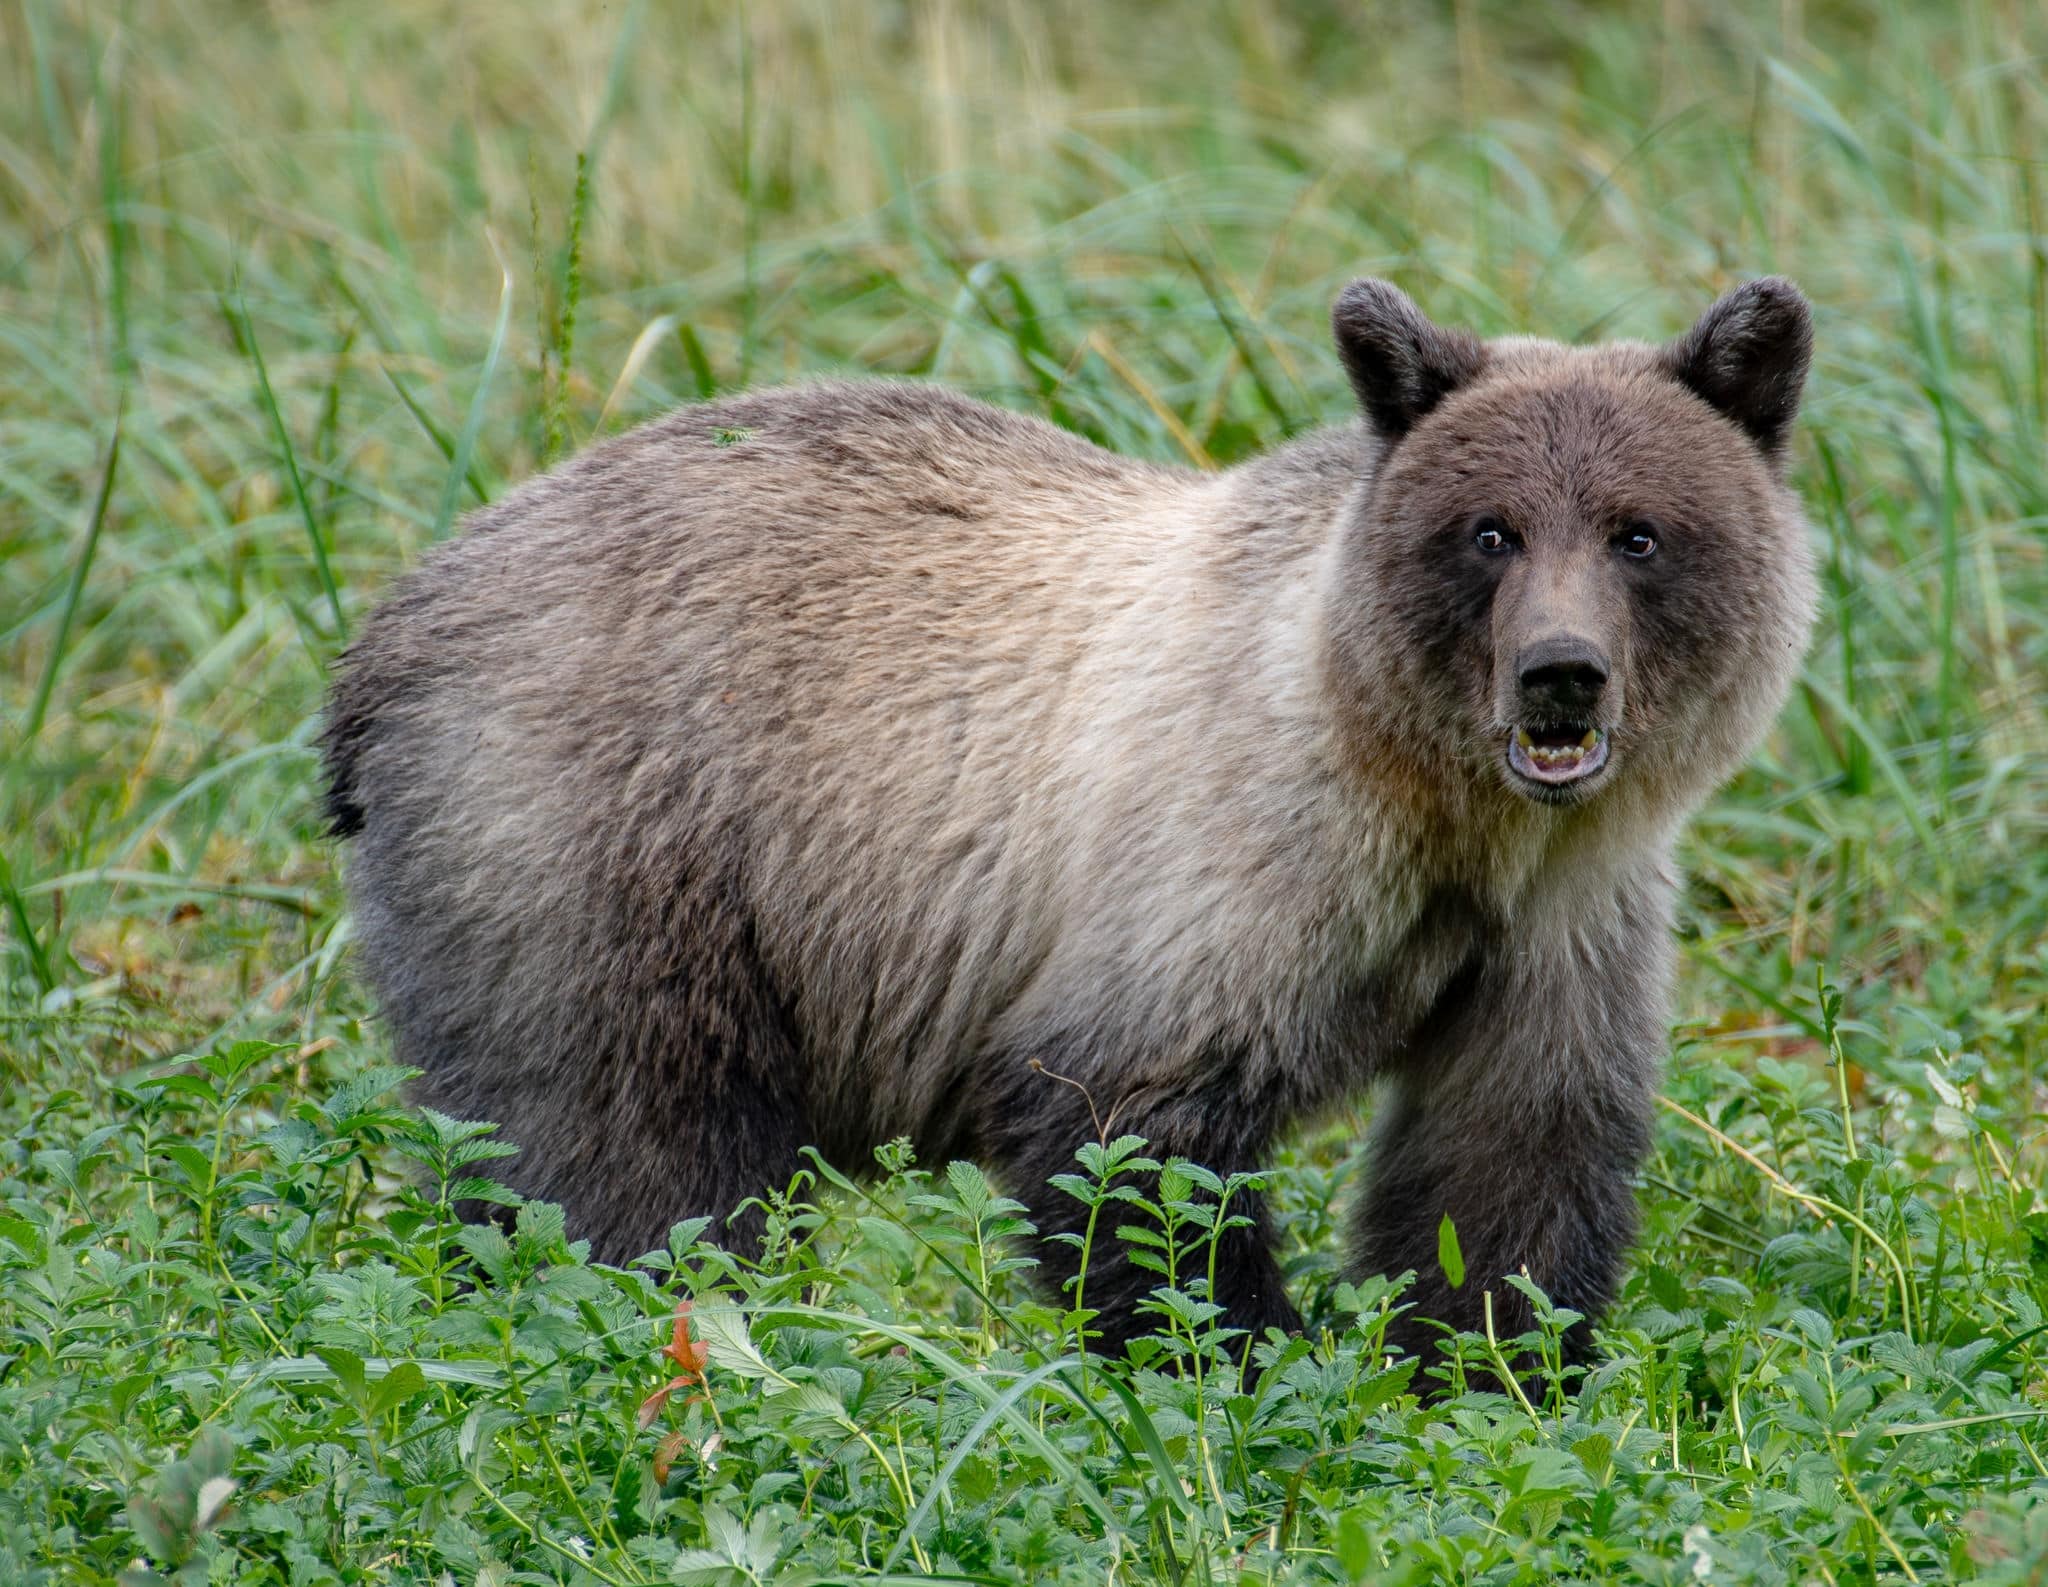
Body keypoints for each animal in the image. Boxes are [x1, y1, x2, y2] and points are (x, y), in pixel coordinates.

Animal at [323, 276, 1816, 1358]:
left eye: (1638, 530)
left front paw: (1490, 1364)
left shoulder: (1564, 914)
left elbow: (1509, 1162)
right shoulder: (1240, 853)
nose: (1559, 670)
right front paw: (1243, 1355)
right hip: (601, 835)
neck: (1447, 807)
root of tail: (393, 621)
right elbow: (1130, 1135)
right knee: (614, 1149)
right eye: (1489, 530)